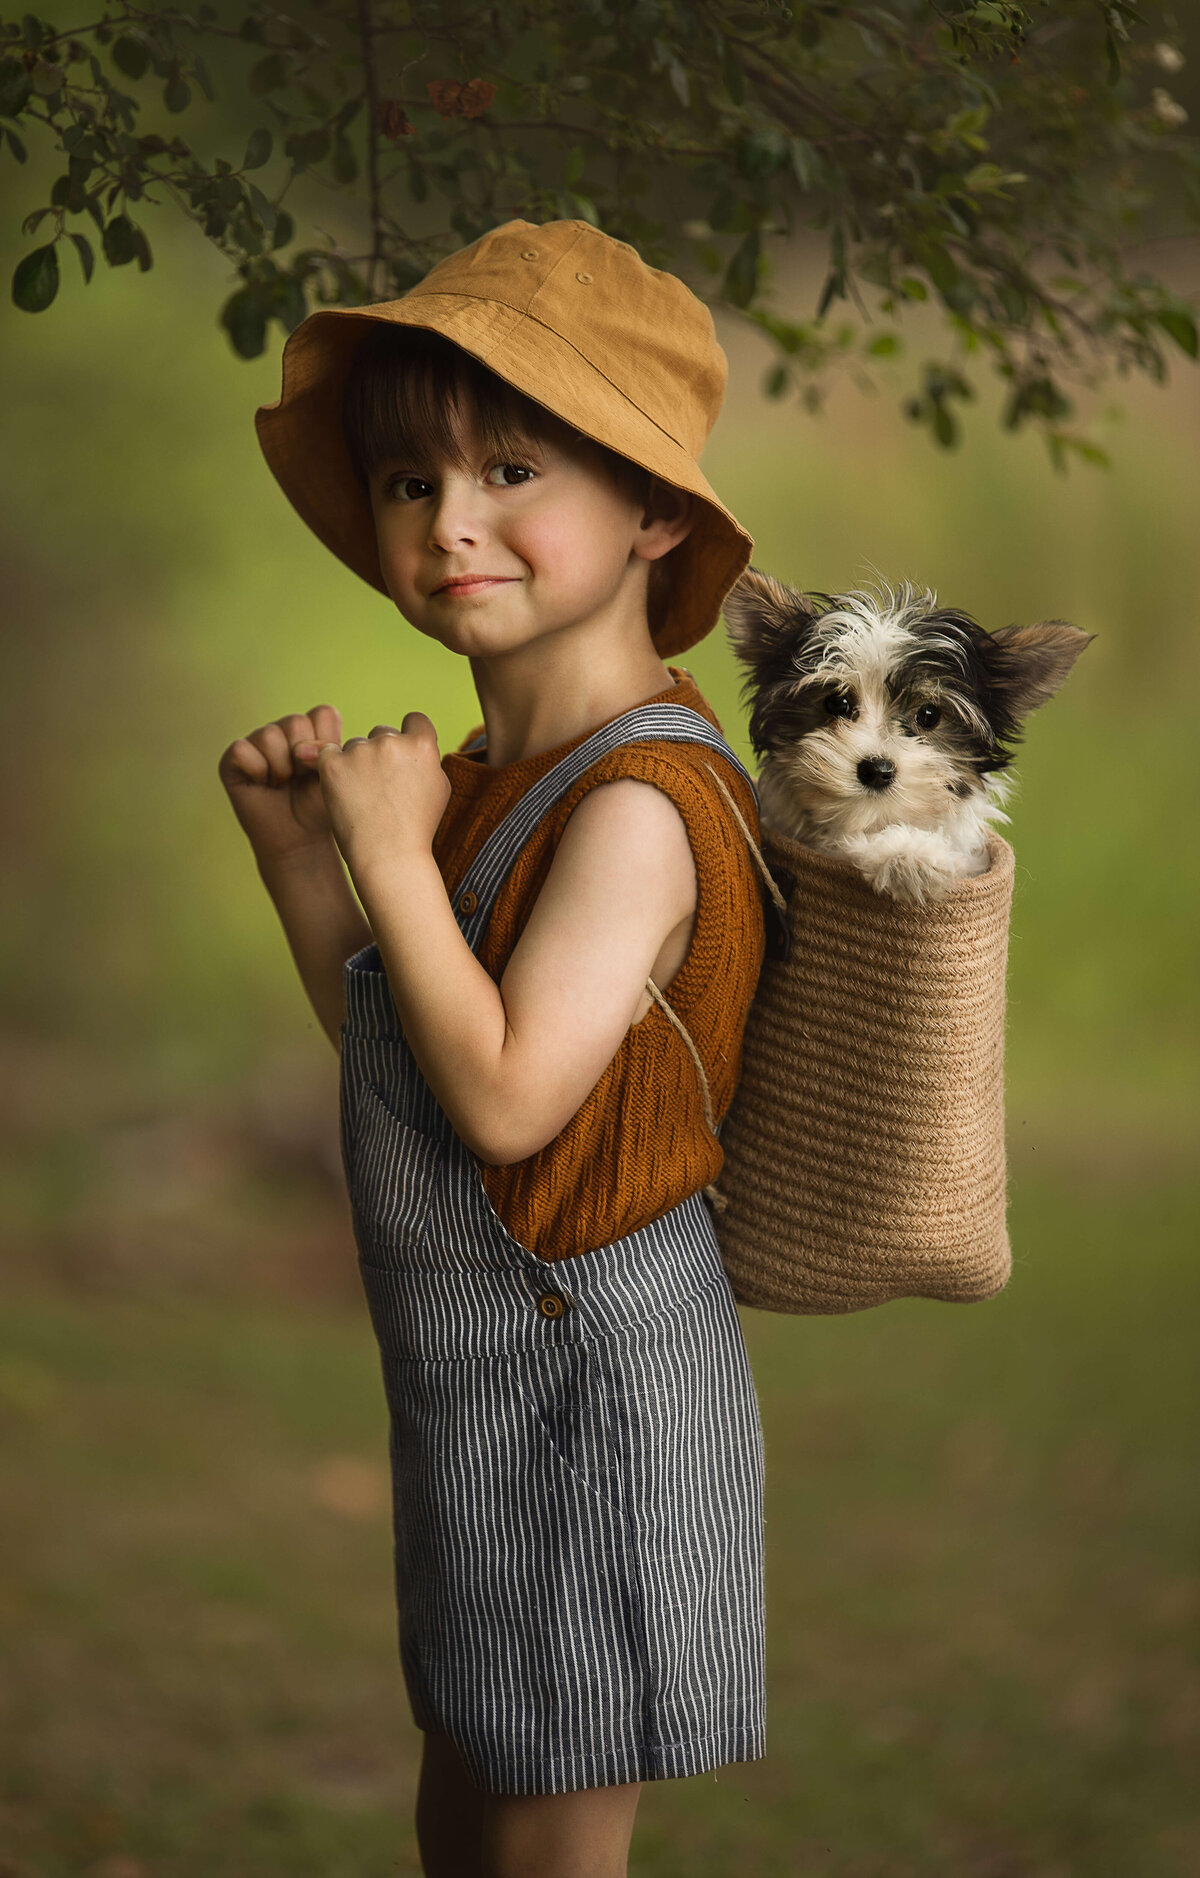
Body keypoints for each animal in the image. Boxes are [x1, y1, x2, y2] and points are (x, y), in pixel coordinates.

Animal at [728, 563, 1096, 901]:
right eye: (837, 702)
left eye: (929, 715)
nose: (876, 770)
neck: (873, 822)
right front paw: (904, 853)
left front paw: (910, 853)